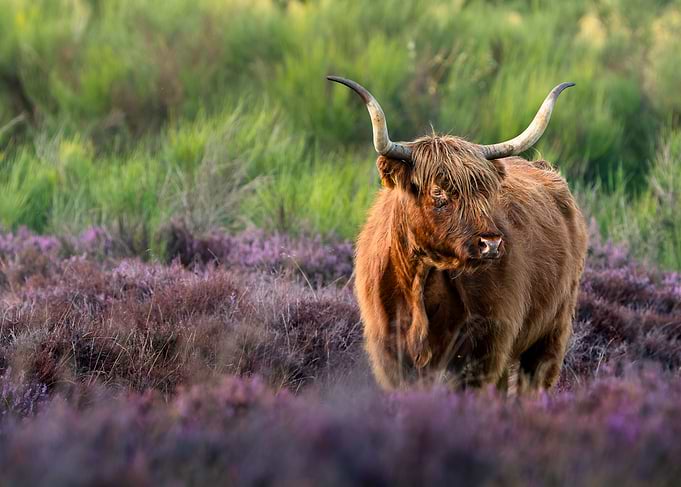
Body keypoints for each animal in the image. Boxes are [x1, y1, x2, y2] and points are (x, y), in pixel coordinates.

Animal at [327, 76, 588, 392]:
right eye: (438, 193)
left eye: (486, 193)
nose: (491, 244)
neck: (422, 278)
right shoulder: (392, 355)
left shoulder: (483, 350)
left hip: (552, 331)